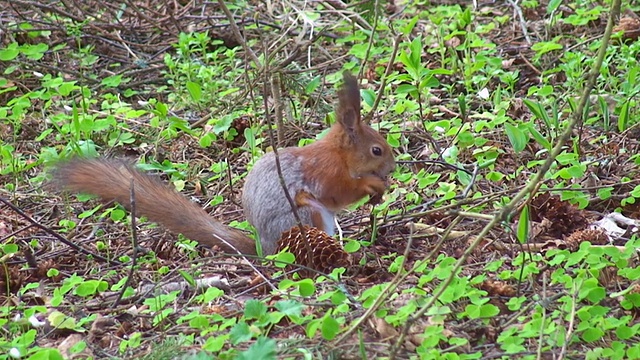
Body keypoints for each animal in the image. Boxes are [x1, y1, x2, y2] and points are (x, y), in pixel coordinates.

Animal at [53, 71, 396, 256]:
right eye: (377, 150)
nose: (392, 169)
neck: (338, 155)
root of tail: (264, 248)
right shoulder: (327, 174)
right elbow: (341, 192)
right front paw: (373, 184)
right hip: (307, 215)